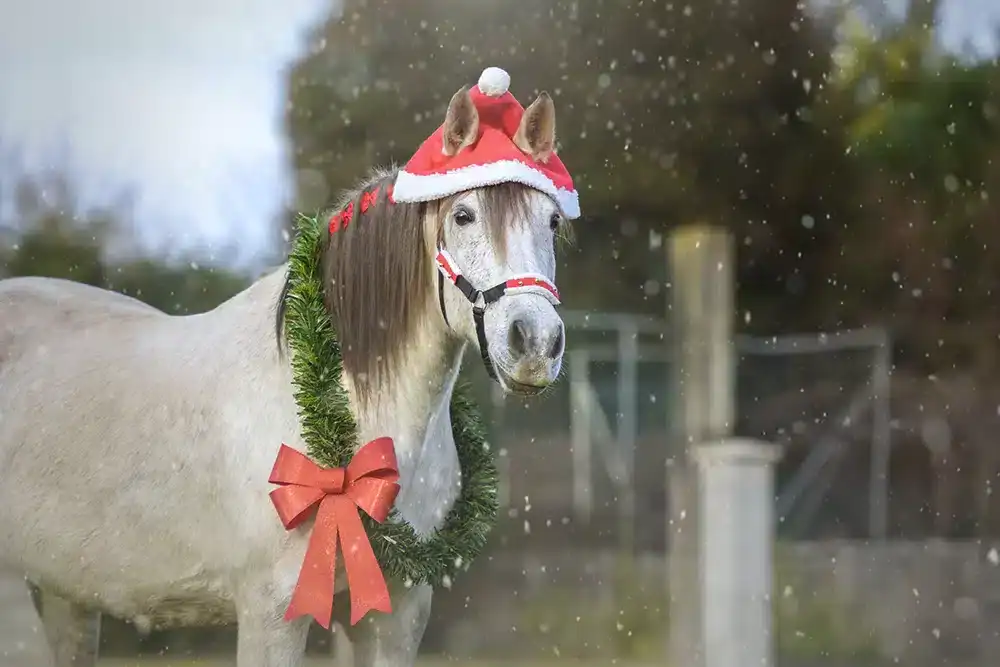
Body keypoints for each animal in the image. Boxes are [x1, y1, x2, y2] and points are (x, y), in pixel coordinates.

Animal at [0, 75, 572, 667]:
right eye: (463, 216)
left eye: (553, 221)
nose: (536, 343)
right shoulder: (271, 609)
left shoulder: (399, 609)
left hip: (64, 595)